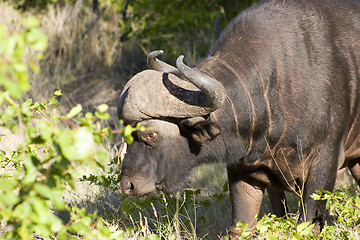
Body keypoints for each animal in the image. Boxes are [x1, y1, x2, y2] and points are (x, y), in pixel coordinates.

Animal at [117, 0, 360, 236]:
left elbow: (307, 225)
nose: (128, 185)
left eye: (151, 134)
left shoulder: (323, 167)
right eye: (128, 132)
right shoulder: (244, 172)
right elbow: (241, 227)